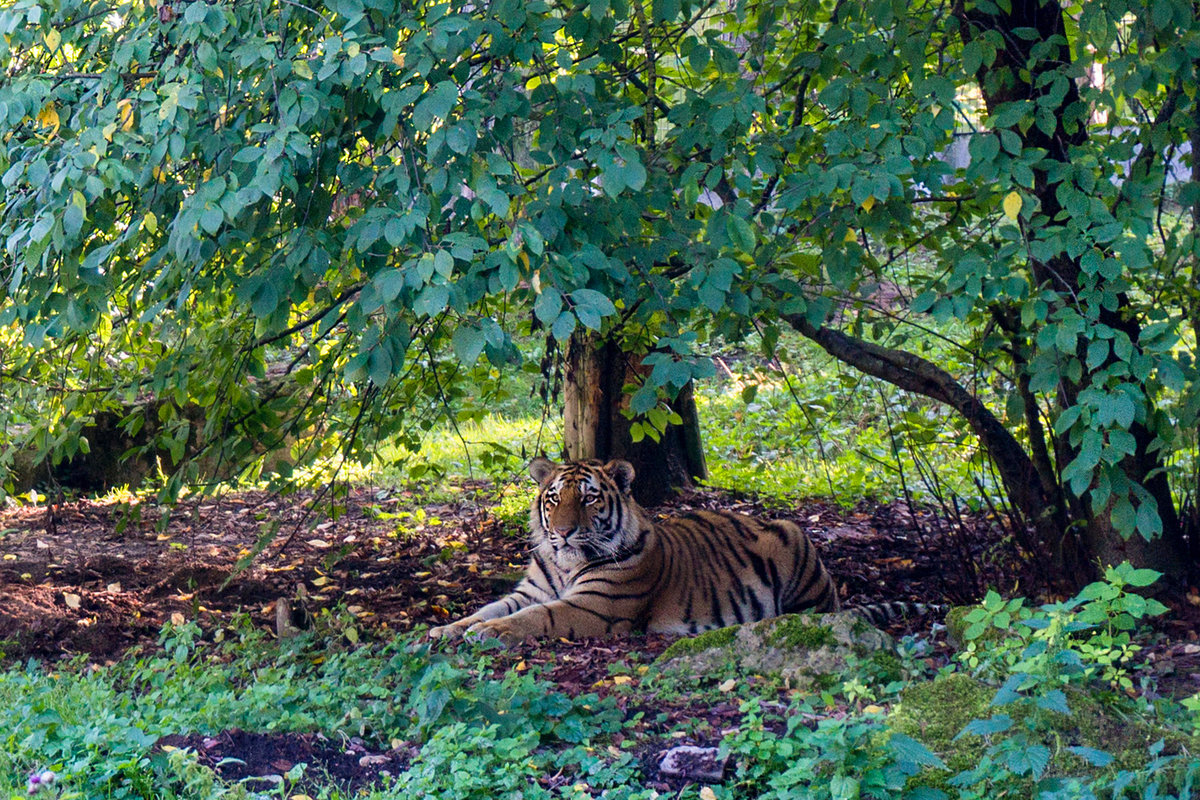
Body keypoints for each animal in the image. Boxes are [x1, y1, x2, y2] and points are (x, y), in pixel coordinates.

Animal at [427, 457, 842, 645]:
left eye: (589, 498)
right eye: (554, 498)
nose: (562, 532)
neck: (564, 565)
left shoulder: (595, 605)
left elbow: (536, 616)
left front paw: (491, 631)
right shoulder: (530, 592)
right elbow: (488, 607)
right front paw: (446, 629)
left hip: (794, 541)